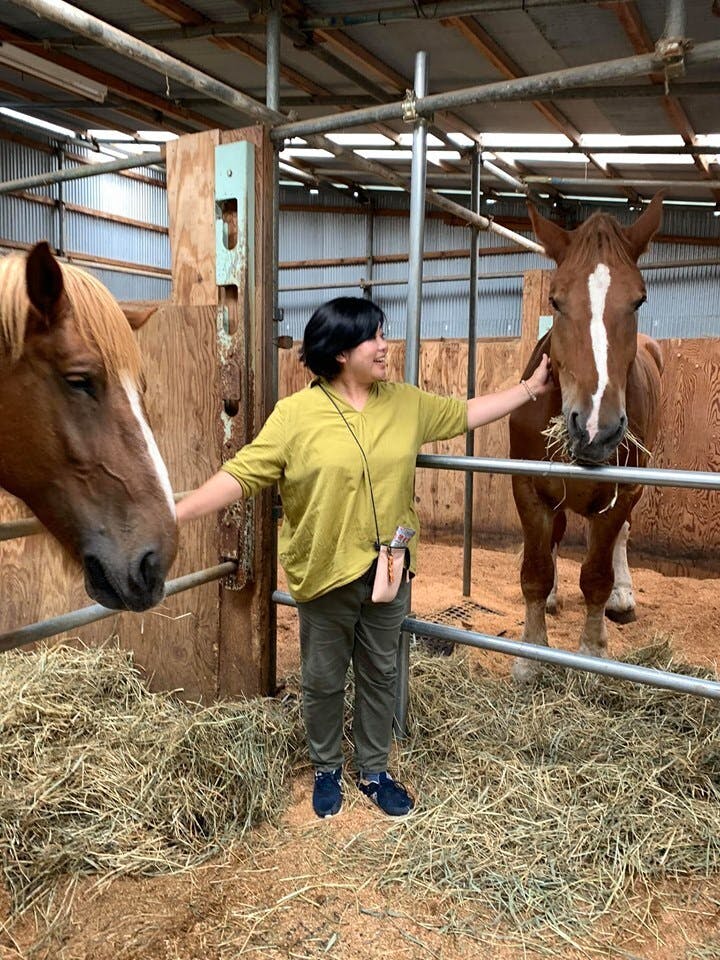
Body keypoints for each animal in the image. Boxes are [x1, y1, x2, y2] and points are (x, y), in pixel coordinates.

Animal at [506, 193, 664, 684]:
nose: (596, 428)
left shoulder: (622, 491)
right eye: (555, 300)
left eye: (639, 299)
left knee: (618, 542)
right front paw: (530, 655)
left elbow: (596, 575)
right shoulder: (529, 488)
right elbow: (535, 571)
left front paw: (593, 651)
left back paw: (622, 599)